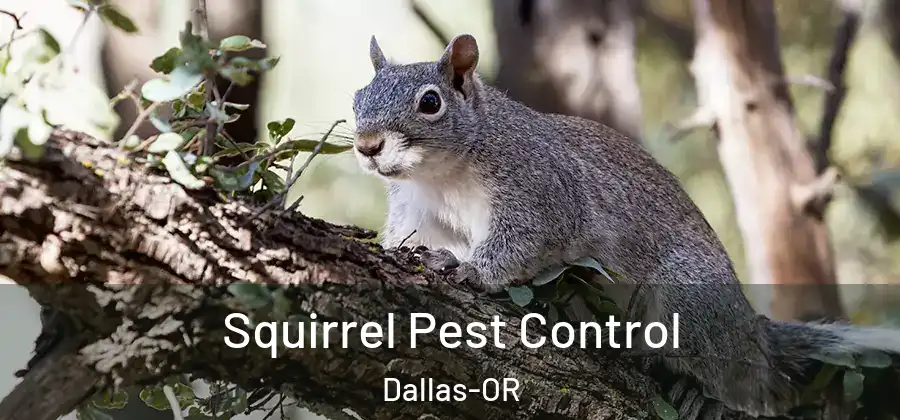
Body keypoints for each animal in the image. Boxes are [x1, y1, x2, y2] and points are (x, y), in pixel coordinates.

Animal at [350, 34, 900, 419]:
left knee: (742, 382)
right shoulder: (418, 211)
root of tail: (750, 331)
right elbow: (408, 238)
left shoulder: (543, 190)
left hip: (689, 301)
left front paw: (469, 270)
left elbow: (523, 241)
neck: (441, 174)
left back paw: (703, 393)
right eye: (358, 97)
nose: (367, 146)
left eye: (430, 102)